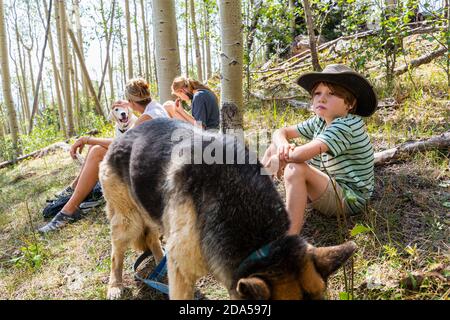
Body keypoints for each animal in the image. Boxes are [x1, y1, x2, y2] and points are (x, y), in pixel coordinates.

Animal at [100, 118, 356, 300]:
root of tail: (124, 135)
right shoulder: (184, 269)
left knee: (153, 238)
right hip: (128, 221)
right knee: (116, 253)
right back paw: (115, 286)